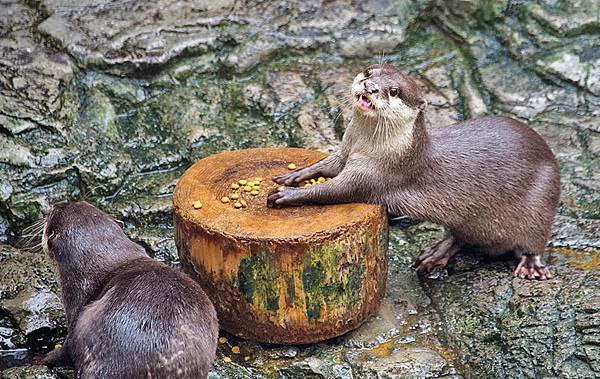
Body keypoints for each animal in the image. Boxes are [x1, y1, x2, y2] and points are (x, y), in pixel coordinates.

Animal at [270, 63, 560, 280]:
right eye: (369, 72)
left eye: (394, 91)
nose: (370, 88)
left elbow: (333, 190)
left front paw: (286, 195)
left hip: (541, 200)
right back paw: (436, 252)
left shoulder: (375, 174)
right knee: (464, 237)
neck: (365, 146)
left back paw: (531, 264)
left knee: (534, 240)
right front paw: (292, 176)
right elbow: (324, 166)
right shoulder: (344, 153)